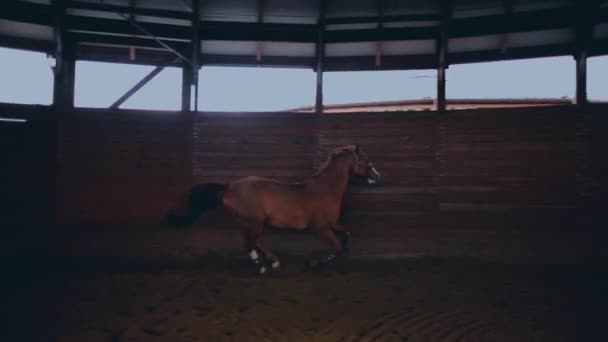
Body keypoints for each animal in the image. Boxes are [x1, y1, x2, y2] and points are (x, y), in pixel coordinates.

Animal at [166, 146, 380, 274]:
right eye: (366, 160)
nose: (378, 176)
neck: (324, 189)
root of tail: (229, 187)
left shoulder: (332, 224)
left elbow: (346, 237)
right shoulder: (321, 227)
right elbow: (336, 247)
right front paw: (315, 263)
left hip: (248, 222)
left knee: (252, 243)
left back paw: (271, 261)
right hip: (255, 222)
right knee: (251, 243)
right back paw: (263, 266)